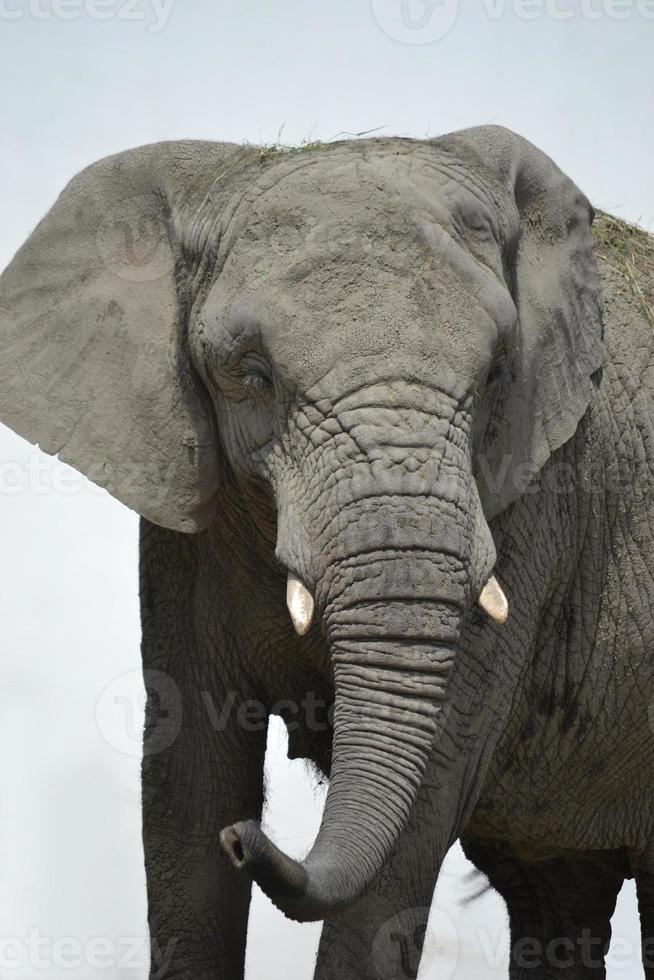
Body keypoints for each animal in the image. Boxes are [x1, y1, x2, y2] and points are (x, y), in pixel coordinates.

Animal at [1, 126, 654, 976]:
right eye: (251, 376)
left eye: (495, 375)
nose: (250, 839)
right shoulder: (183, 512)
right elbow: (188, 786)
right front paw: (217, 823)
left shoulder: (535, 493)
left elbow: (424, 801)